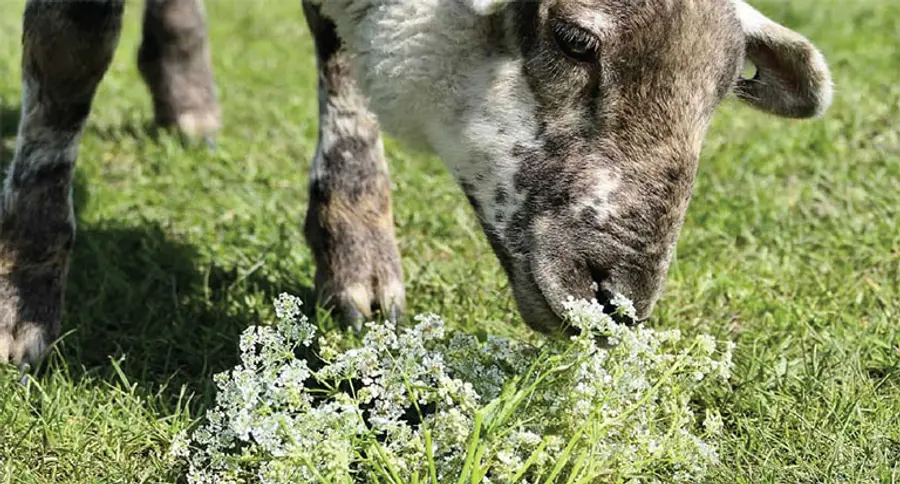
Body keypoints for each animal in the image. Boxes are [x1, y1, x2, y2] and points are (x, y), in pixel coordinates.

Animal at [0, 0, 831, 366]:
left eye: (725, 88)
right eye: (573, 39)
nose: (612, 300)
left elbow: (339, 53)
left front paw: (359, 258)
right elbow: (71, 52)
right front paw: (21, 299)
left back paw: (186, 95)